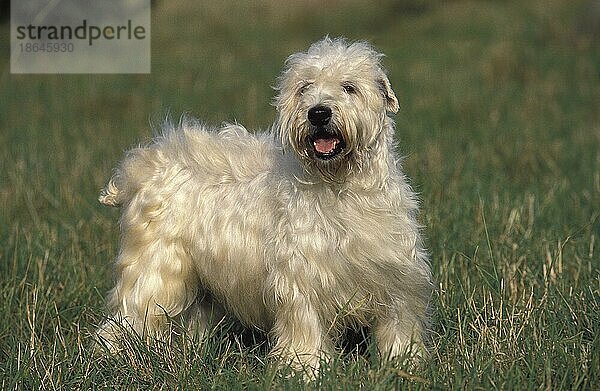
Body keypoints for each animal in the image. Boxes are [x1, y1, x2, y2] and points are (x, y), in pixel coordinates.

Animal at [97, 36, 432, 374]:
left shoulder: (396, 278)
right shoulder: (301, 279)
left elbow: (398, 326)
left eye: (349, 87)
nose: (318, 113)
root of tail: (146, 162)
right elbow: (305, 327)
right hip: (156, 269)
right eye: (304, 88)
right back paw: (118, 358)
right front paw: (305, 368)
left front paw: (404, 364)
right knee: (127, 317)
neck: (343, 189)